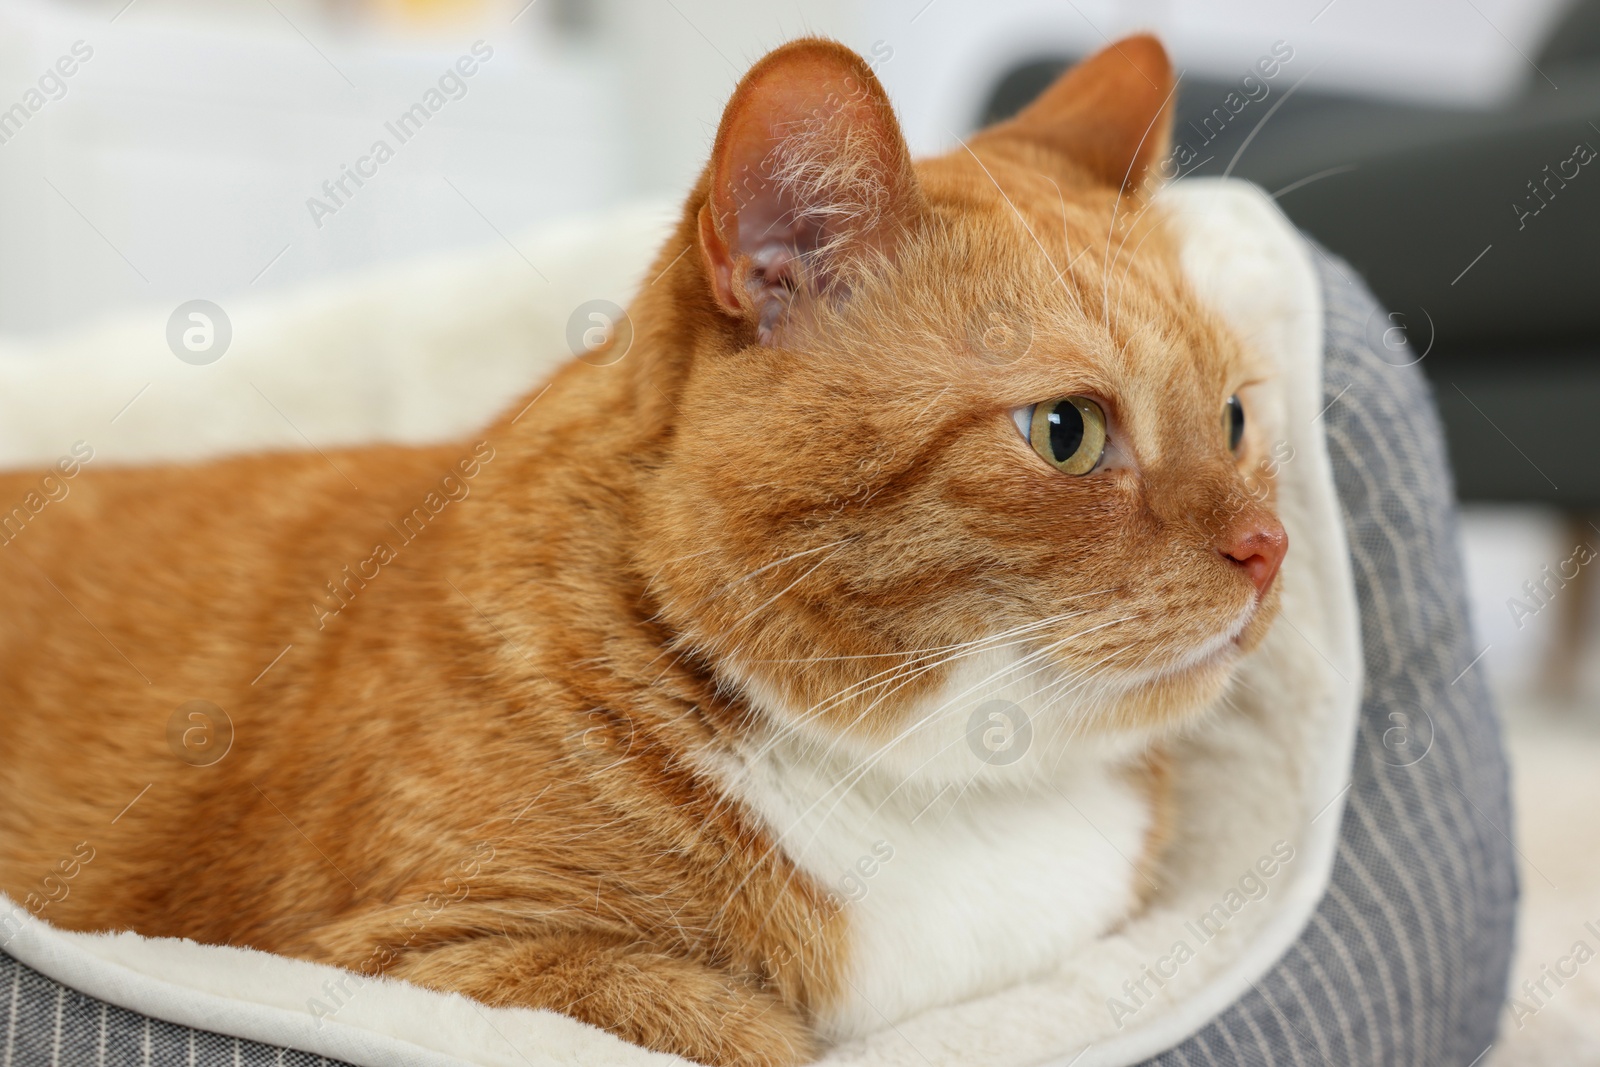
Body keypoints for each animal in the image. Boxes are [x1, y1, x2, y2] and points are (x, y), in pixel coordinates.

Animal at [0, 35, 1286, 1067]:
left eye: (1233, 417)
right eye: (1066, 431)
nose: (1269, 546)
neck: (949, 790)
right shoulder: (407, 962)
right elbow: (748, 1034)